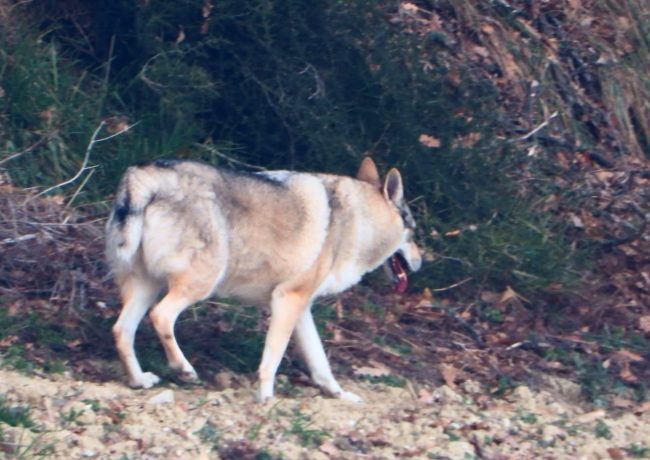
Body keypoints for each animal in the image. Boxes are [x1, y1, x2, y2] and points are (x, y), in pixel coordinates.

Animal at [105, 157, 421, 402]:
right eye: (414, 232)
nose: (421, 262)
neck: (356, 221)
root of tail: (142, 176)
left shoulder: (300, 308)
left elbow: (321, 364)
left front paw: (339, 395)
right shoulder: (287, 301)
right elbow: (272, 359)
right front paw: (266, 399)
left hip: (148, 288)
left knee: (121, 330)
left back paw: (139, 380)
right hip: (198, 285)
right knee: (160, 317)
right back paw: (184, 369)